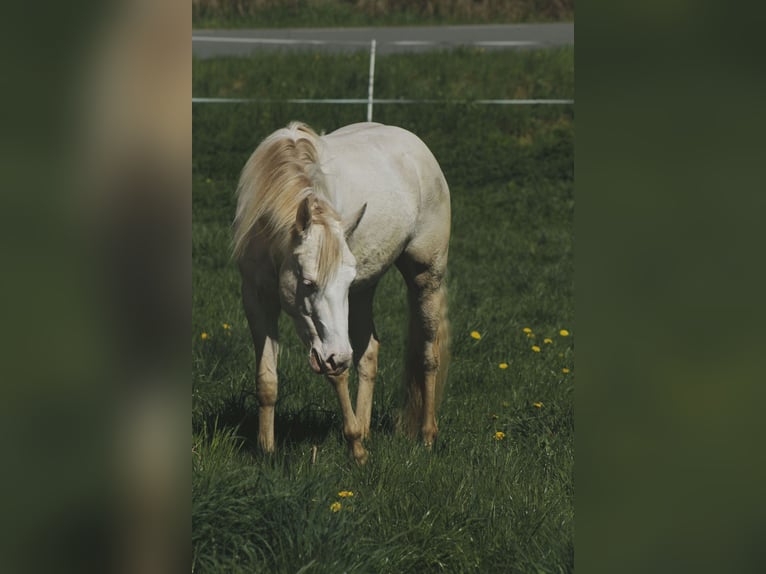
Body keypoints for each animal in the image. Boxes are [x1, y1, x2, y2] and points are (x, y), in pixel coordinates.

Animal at [232, 121, 450, 464]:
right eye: (308, 283)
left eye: (343, 283)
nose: (338, 355)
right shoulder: (256, 299)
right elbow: (267, 379)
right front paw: (266, 450)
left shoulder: (327, 334)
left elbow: (337, 374)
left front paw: (356, 449)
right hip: (365, 292)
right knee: (368, 353)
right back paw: (366, 428)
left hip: (426, 278)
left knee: (429, 355)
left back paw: (427, 436)